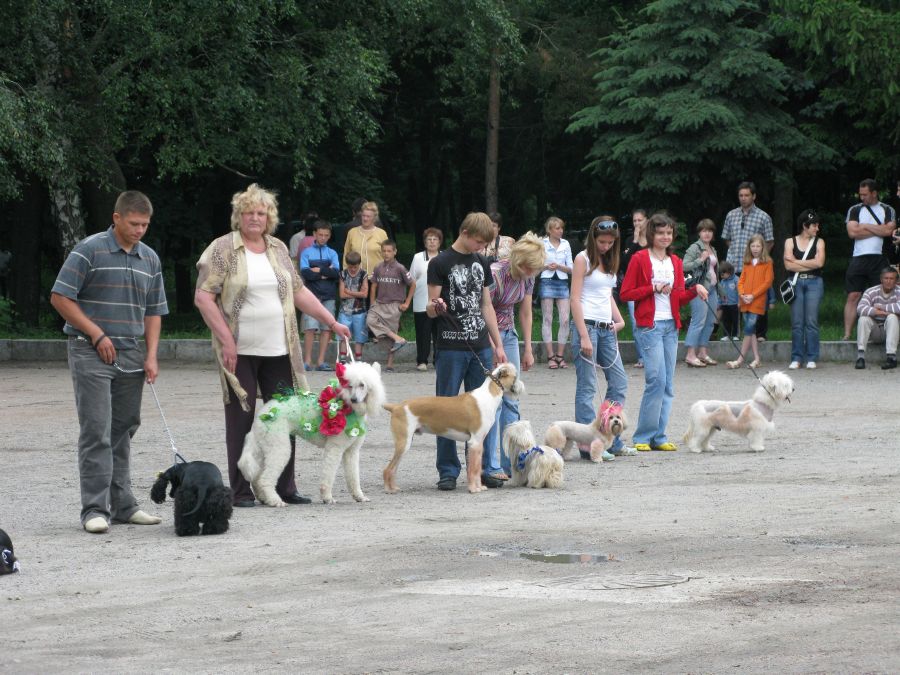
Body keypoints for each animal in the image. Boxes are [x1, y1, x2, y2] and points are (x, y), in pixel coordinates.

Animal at [239, 360, 386, 505]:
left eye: (362, 385)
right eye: (350, 386)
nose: (354, 399)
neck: (348, 407)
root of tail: (262, 414)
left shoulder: (352, 452)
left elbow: (353, 476)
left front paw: (359, 496)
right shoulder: (335, 448)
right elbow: (329, 473)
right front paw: (327, 497)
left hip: (265, 446)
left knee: (256, 477)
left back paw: (264, 498)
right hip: (278, 447)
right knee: (264, 479)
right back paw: (275, 501)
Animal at [381, 363, 524, 494]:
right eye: (515, 376)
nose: (522, 387)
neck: (488, 395)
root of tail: (396, 407)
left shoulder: (478, 444)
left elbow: (477, 468)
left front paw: (479, 487)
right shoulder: (475, 442)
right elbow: (474, 469)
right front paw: (474, 489)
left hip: (405, 444)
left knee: (393, 469)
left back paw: (394, 487)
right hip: (403, 444)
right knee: (387, 469)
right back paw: (389, 489)